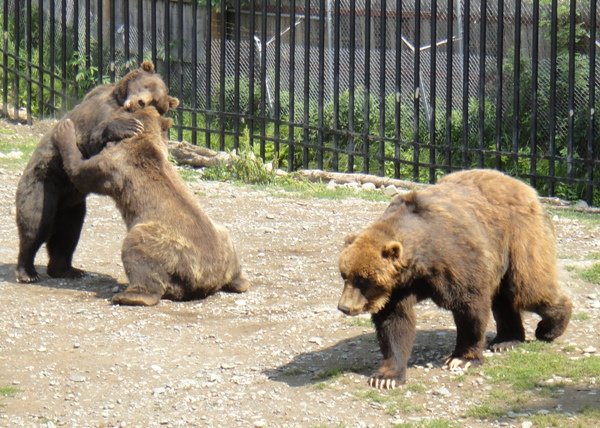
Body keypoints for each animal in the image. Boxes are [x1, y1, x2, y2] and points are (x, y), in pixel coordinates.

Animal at [14, 58, 178, 282]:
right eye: (147, 85)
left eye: (156, 101)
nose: (140, 102)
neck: (118, 100)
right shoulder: (96, 111)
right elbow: (93, 135)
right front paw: (127, 126)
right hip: (45, 182)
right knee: (36, 221)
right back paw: (27, 271)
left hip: (71, 204)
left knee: (67, 233)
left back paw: (67, 269)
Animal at [49, 107, 251, 306]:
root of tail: (208, 279)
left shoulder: (110, 165)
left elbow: (79, 170)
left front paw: (64, 130)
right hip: (223, 238)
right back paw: (241, 282)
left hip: (162, 243)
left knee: (138, 252)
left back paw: (128, 295)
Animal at [338, 169, 572, 390]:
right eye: (345, 275)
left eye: (364, 280)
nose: (344, 307)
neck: (422, 259)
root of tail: (523, 186)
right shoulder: (399, 286)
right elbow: (394, 323)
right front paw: (386, 377)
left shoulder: (456, 261)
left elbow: (470, 308)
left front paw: (462, 359)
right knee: (504, 298)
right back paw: (506, 340)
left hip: (518, 238)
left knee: (528, 288)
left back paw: (548, 328)